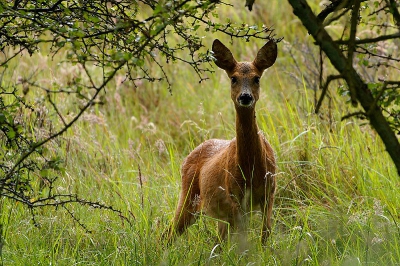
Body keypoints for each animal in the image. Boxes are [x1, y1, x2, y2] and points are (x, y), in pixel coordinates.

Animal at [167, 38, 276, 244]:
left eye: (257, 78)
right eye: (233, 78)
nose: (245, 97)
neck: (251, 169)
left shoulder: (270, 192)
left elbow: (265, 235)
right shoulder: (235, 196)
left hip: (220, 214)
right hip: (188, 196)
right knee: (168, 233)